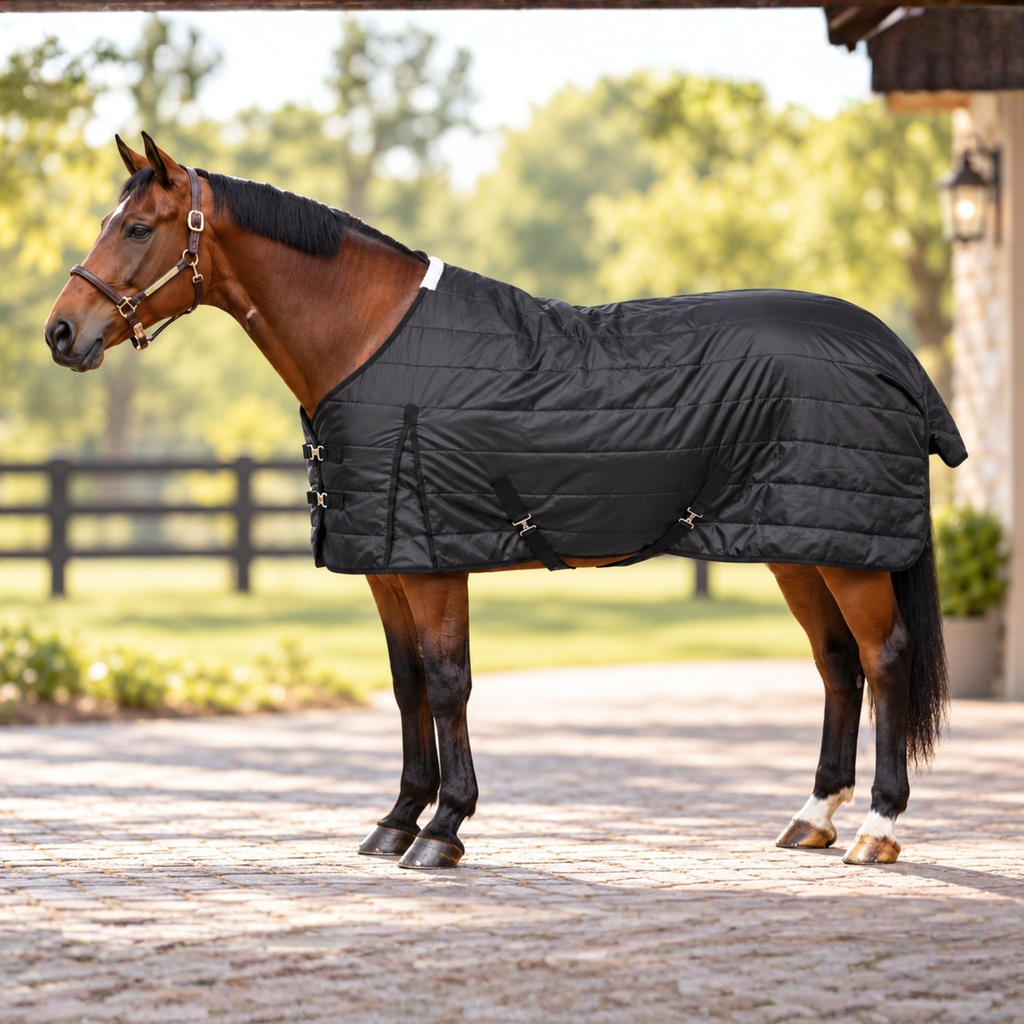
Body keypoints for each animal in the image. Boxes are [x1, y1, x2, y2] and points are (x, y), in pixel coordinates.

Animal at [45, 134, 964, 870]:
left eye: (137, 227)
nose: (61, 332)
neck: (372, 342)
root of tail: (891, 352)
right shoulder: (388, 565)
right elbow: (408, 683)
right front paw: (395, 821)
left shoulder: (433, 562)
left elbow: (450, 683)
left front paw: (443, 830)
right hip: (797, 546)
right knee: (837, 664)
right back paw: (812, 818)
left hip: (844, 555)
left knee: (884, 659)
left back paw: (877, 829)